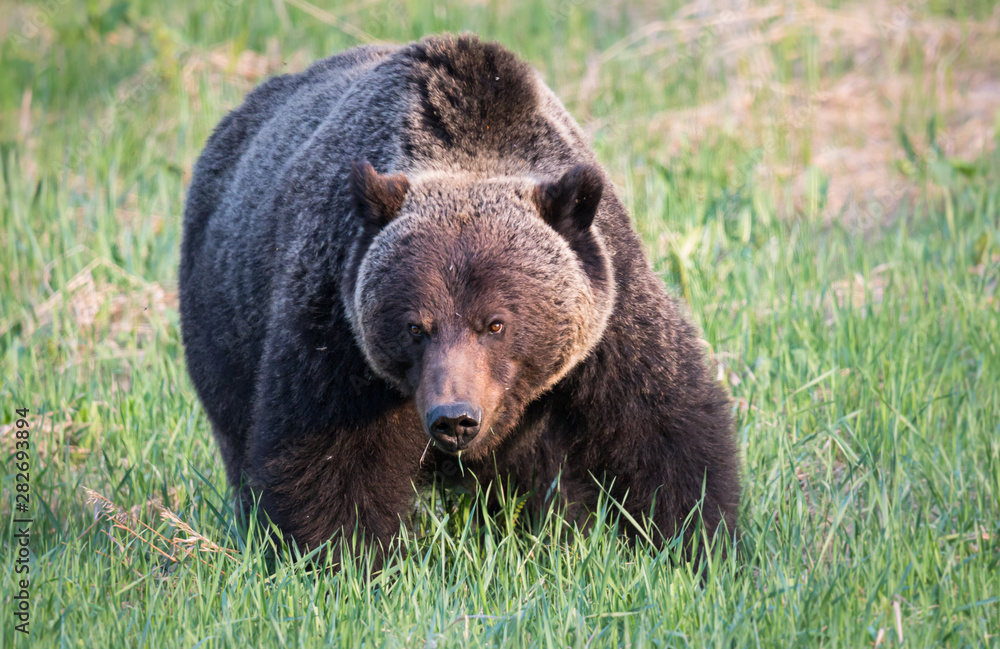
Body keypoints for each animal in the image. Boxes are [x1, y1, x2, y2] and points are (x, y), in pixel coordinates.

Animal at [179, 34, 740, 564]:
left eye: (496, 323)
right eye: (414, 326)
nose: (454, 418)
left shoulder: (610, 321)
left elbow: (662, 428)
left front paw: (697, 545)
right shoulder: (336, 330)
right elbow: (328, 459)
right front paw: (343, 561)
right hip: (223, 323)